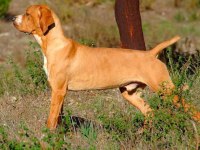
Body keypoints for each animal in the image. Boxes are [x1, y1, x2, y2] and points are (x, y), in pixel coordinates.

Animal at [12, 4, 200, 129]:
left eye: (27, 14)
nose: (13, 19)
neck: (53, 44)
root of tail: (150, 54)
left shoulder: (58, 90)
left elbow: (51, 119)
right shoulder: (59, 92)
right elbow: (57, 117)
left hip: (166, 90)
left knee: (192, 110)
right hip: (129, 93)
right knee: (149, 112)